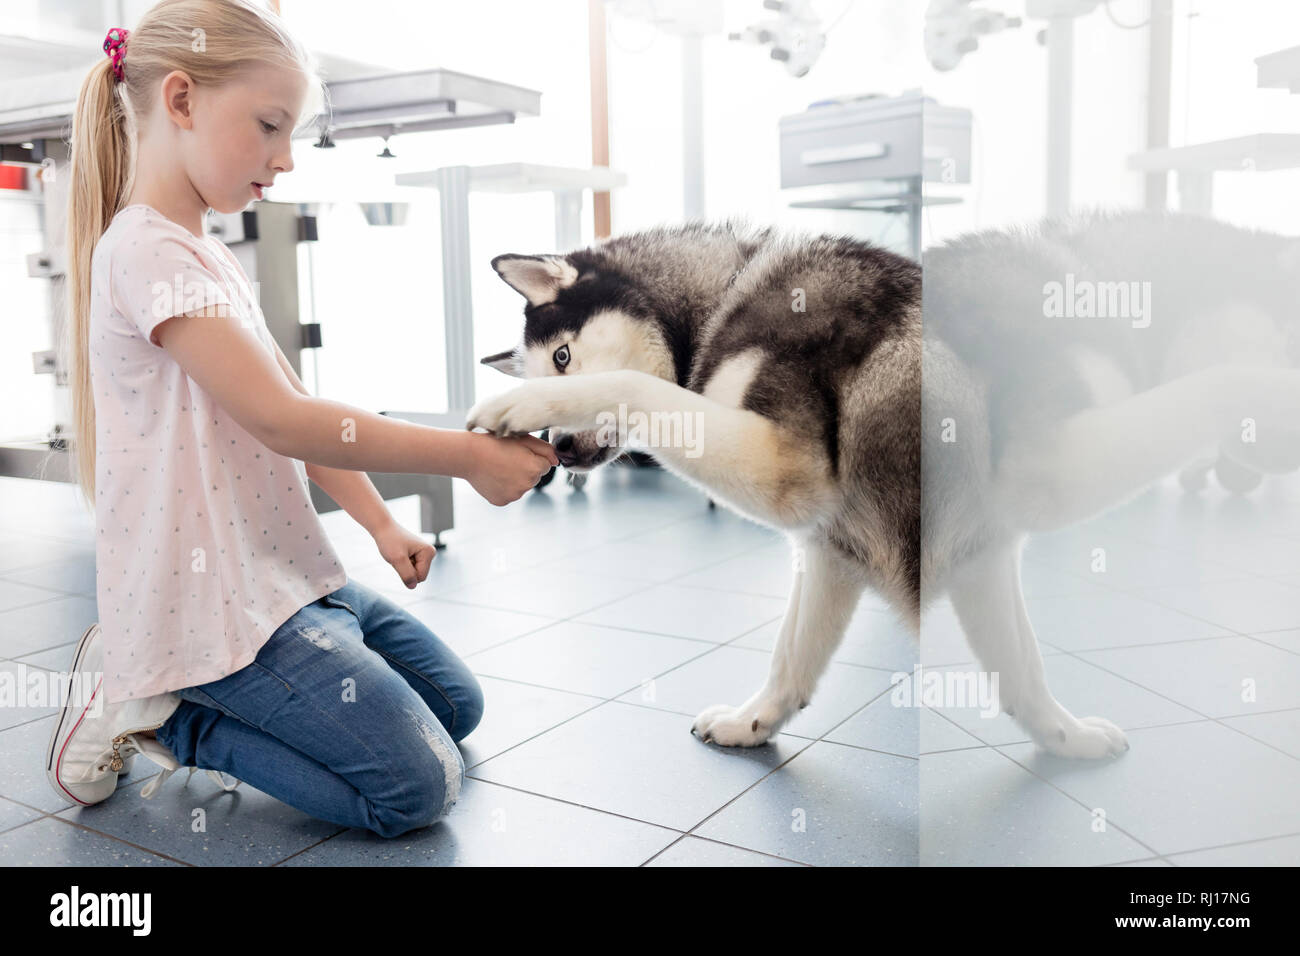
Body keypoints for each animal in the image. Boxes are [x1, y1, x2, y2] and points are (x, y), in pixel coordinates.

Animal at [470, 218, 925, 749]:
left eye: (562, 358)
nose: (559, 448)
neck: (724, 295)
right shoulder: (828, 544)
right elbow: (791, 654)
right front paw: (751, 723)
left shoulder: (785, 467)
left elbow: (632, 384)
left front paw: (518, 404)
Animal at [925, 210, 1300, 764]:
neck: (1108, 282)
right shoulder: (1049, 467)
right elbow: (1224, 381)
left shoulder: (986, 550)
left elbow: (1023, 662)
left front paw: (1066, 734)